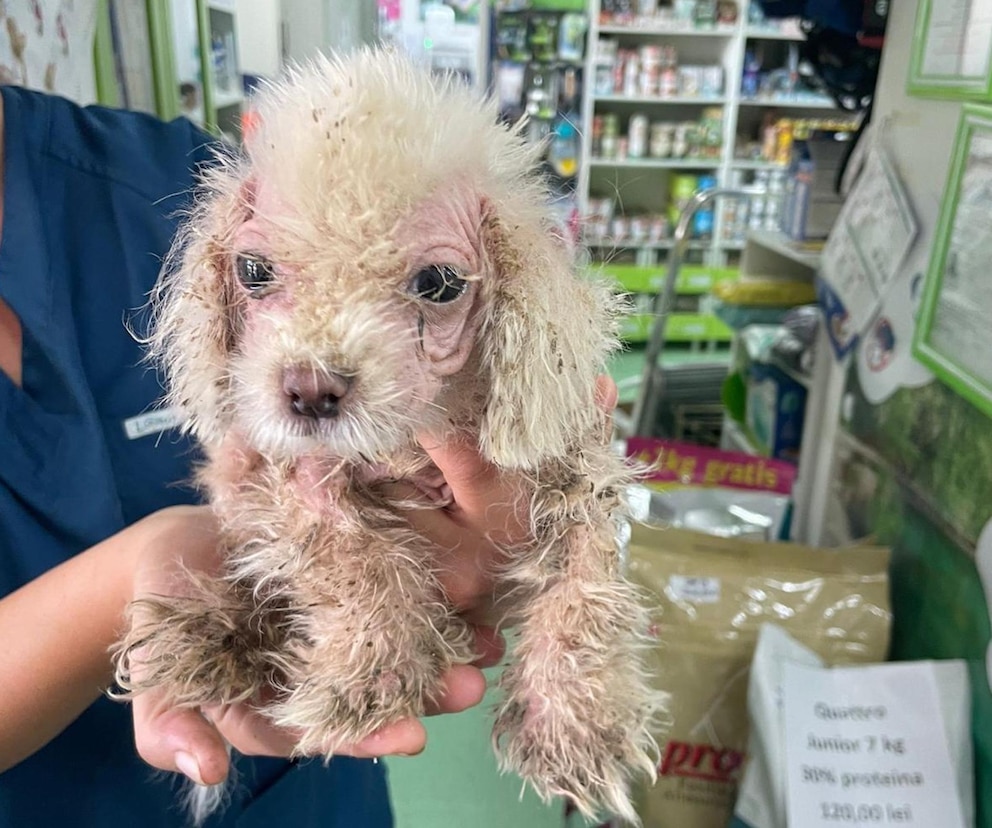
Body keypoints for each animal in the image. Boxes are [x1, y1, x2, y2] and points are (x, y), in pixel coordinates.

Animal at [114, 48, 660, 824]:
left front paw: (576, 725)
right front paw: (368, 675)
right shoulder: (282, 479)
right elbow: (353, 554)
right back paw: (214, 638)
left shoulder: (578, 468)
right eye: (253, 270)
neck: (407, 441)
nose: (310, 389)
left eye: (439, 283)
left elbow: (586, 585)